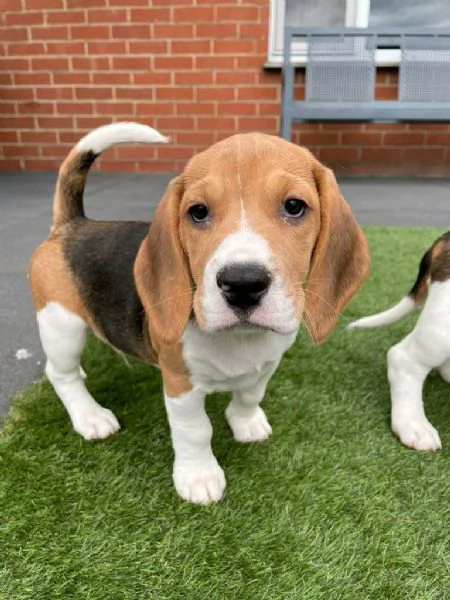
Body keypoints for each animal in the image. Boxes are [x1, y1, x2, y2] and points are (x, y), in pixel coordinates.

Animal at [29, 120, 370, 502]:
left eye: (294, 206)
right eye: (198, 212)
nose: (242, 283)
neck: (242, 339)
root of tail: (70, 225)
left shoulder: (266, 365)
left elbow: (250, 394)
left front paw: (246, 423)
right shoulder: (180, 383)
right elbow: (195, 431)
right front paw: (198, 477)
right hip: (61, 324)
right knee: (61, 374)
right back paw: (90, 416)